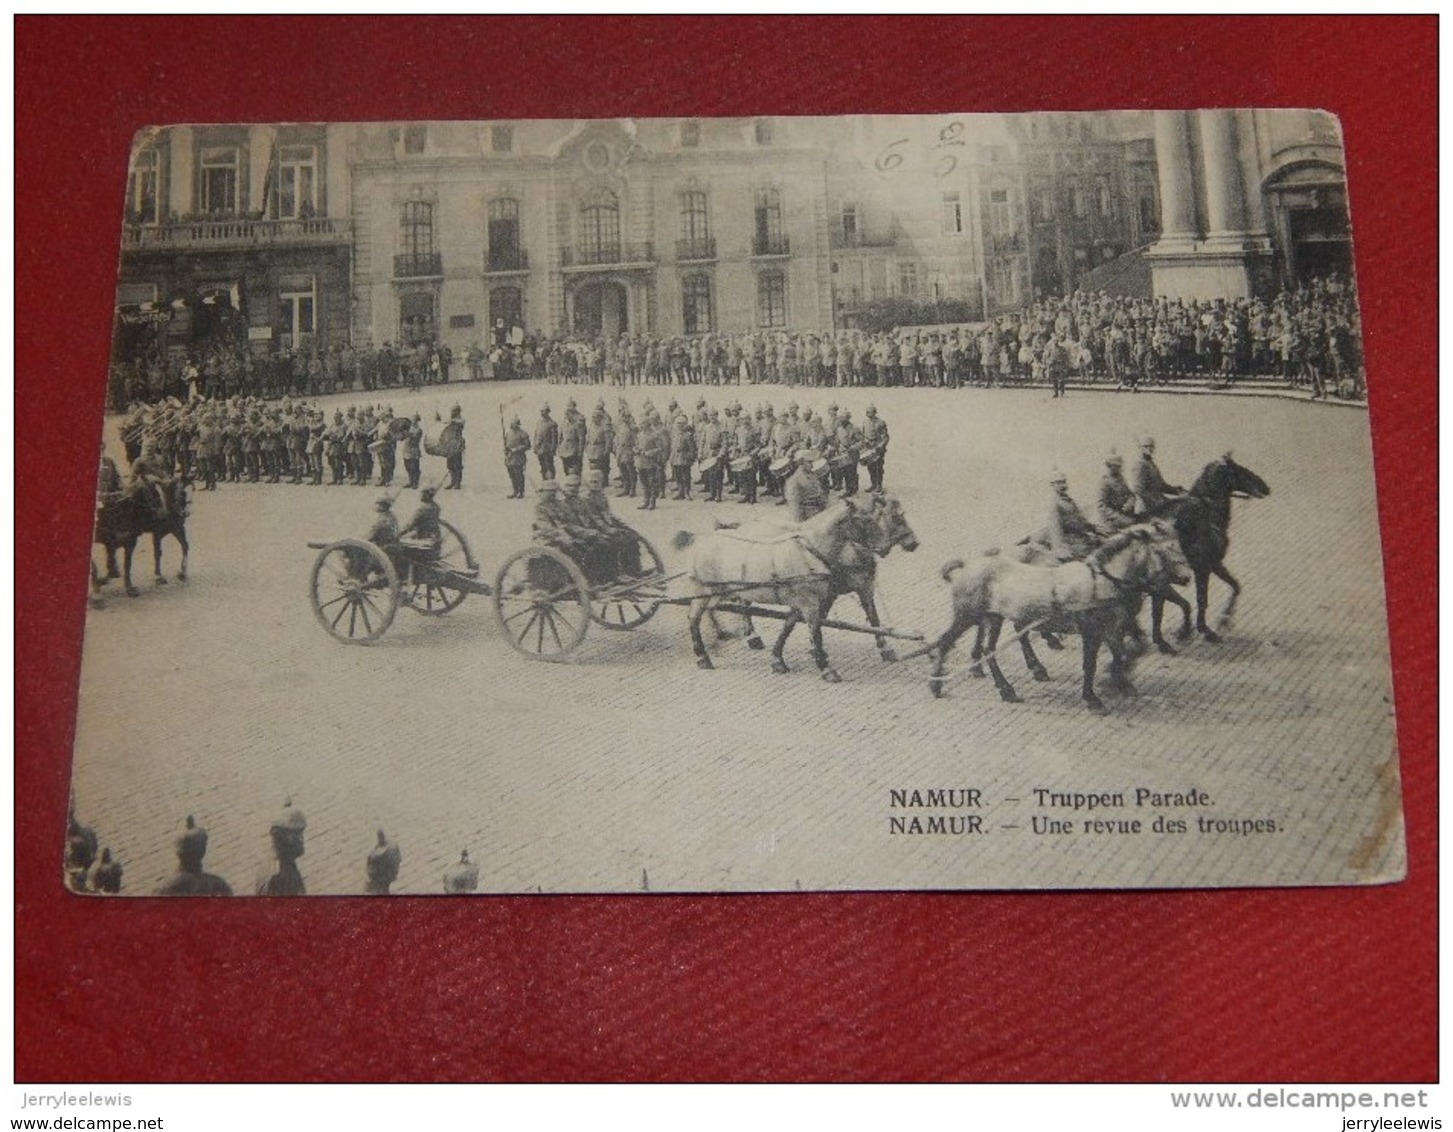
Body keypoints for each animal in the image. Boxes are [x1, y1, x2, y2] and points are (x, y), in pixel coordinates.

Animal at [1150, 453, 1267, 645]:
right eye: (1239, 471)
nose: (1265, 487)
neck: (1205, 517)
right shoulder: (1204, 567)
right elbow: (1202, 599)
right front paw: (1206, 628)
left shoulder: (1214, 564)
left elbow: (1235, 586)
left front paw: (1224, 619)